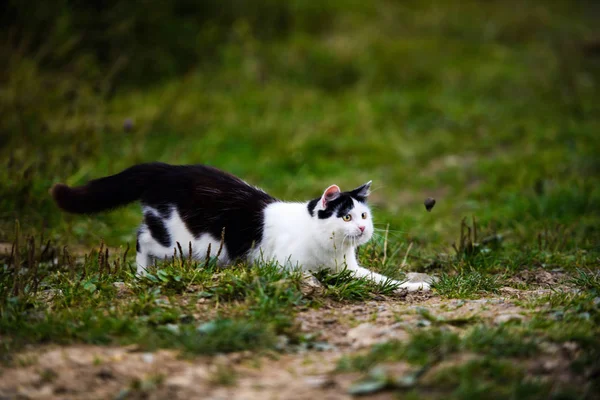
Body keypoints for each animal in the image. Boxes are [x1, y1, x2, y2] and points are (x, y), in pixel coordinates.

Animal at [49, 162, 428, 290]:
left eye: (364, 216)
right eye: (346, 217)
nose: (363, 230)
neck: (331, 249)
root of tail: (166, 168)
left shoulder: (350, 268)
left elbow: (381, 279)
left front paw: (415, 285)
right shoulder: (284, 264)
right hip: (183, 241)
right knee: (143, 239)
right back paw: (143, 274)